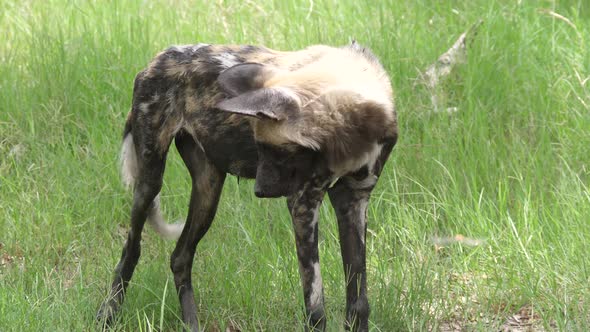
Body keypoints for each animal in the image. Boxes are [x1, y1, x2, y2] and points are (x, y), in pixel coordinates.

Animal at [98, 42, 398, 332]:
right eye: (260, 148)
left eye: (276, 152)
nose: (258, 191)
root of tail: (158, 58)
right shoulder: (304, 203)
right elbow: (315, 309)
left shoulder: (353, 200)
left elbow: (358, 302)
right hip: (149, 184)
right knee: (130, 251)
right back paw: (107, 317)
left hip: (208, 193)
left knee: (180, 257)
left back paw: (191, 325)